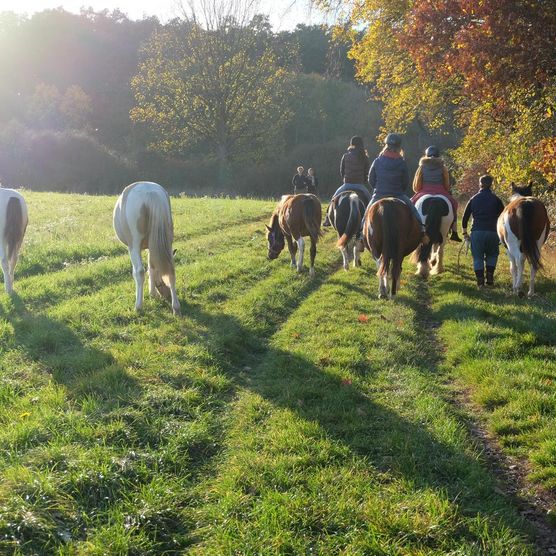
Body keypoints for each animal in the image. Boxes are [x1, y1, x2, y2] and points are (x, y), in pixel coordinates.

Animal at [114, 180, 181, 314]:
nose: (166, 295)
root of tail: (150, 193)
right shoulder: (152, 247)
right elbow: (152, 267)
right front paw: (153, 293)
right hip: (167, 238)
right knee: (171, 269)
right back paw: (176, 307)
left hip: (133, 245)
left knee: (139, 272)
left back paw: (138, 306)